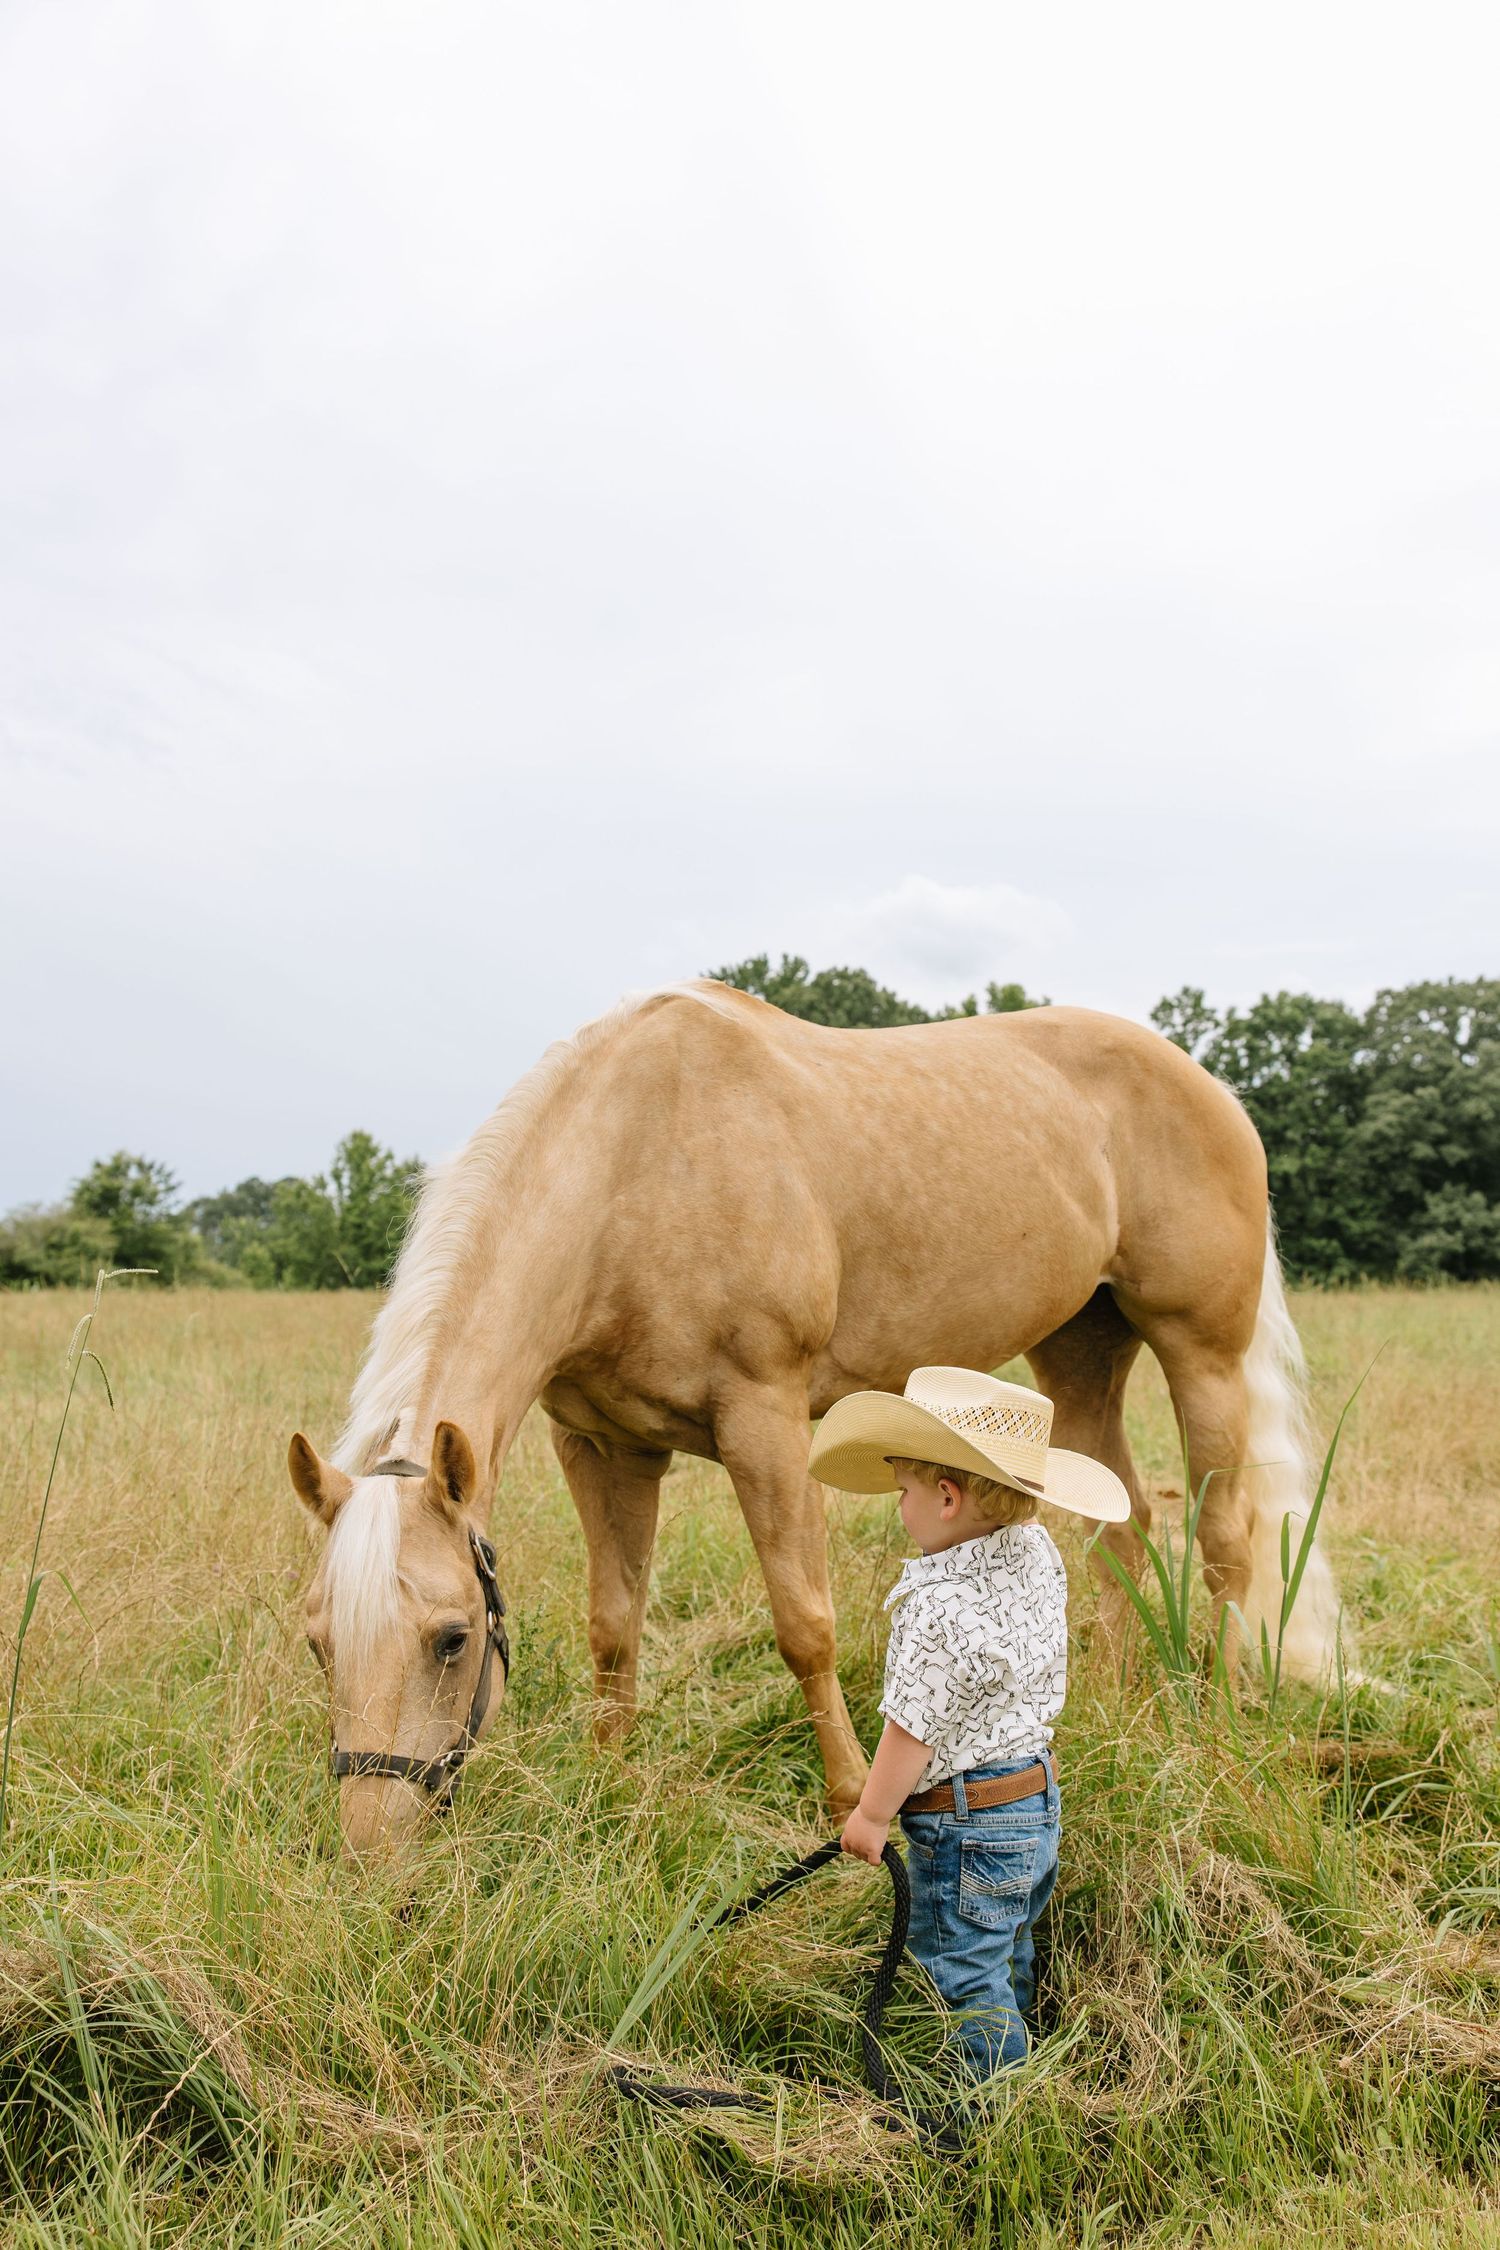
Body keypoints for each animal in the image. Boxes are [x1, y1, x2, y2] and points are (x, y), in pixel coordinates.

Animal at [288, 981, 1342, 1860]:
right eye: (318, 1642)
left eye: (452, 1638)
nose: (371, 1855)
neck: (636, 1167)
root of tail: (1210, 1086)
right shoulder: (603, 1447)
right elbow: (613, 1625)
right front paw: (610, 1779)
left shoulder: (767, 1420)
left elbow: (805, 1625)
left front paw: (848, 1807)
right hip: (1081, 1353)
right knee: (1121, 1525)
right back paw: (1123, 1703)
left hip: (1199, 1348)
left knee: (1226, 1537)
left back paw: (1218, 1714)